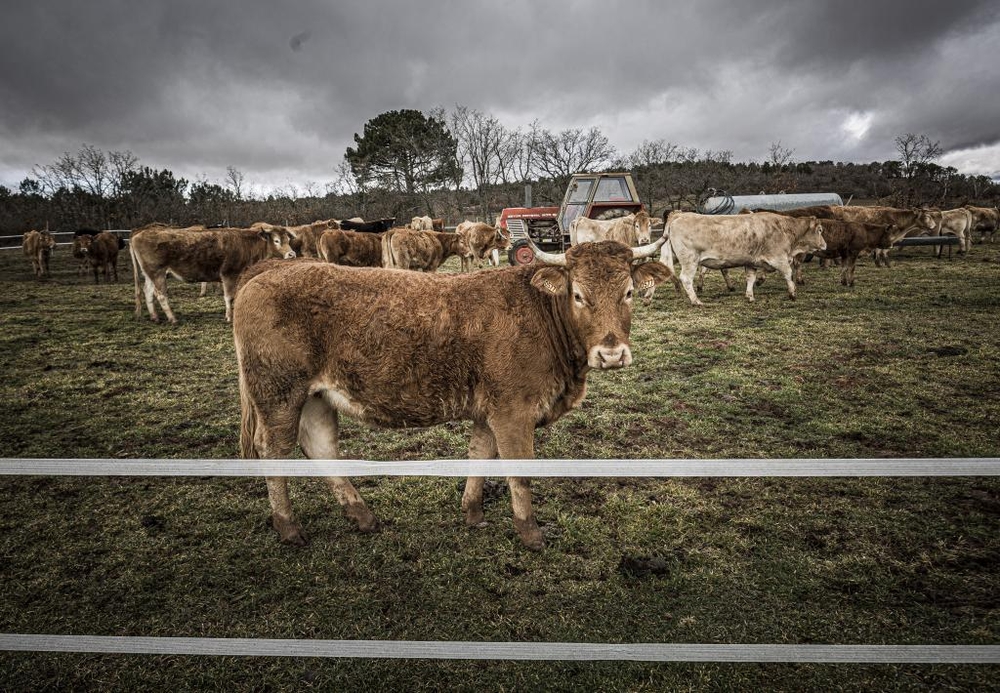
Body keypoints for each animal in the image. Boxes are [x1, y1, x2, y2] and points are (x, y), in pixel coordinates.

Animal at [129, 226, 294, 326]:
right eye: (277, 240)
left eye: (288, 239)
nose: (292, 254)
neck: (247, 246)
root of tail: (139, 233)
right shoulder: (229, 274)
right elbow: (229, 297)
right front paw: (229, 316)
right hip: (158, 273)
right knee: (161, 295)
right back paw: (173, 318)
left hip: (150, 274)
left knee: (148, 291)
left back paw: (155, 317)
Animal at [234, 241, 672, 548]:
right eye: (579, 294)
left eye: (629, 292)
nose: (612, 354)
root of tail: (271, 268)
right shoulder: (513, 410)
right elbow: (520, 472)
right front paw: (530, 534)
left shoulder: (489, 409)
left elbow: (480, 456)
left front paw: (473, 513)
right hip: (278, 394)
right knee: (274, 451)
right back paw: (289, 528)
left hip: (316, 397)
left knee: (321, 447)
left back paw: (362, 516)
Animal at [660, 209, 824, 304]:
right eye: (820, 230)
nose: (825, 245)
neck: (784, 228)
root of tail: (679, 215)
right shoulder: (779, 258)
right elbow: (788, 274)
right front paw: (792, 294)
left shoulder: (751, 262)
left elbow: (750, 278)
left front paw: (750, 296)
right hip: (690, 260)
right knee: (686, 279)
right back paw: (696, 300)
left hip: (671, 256)